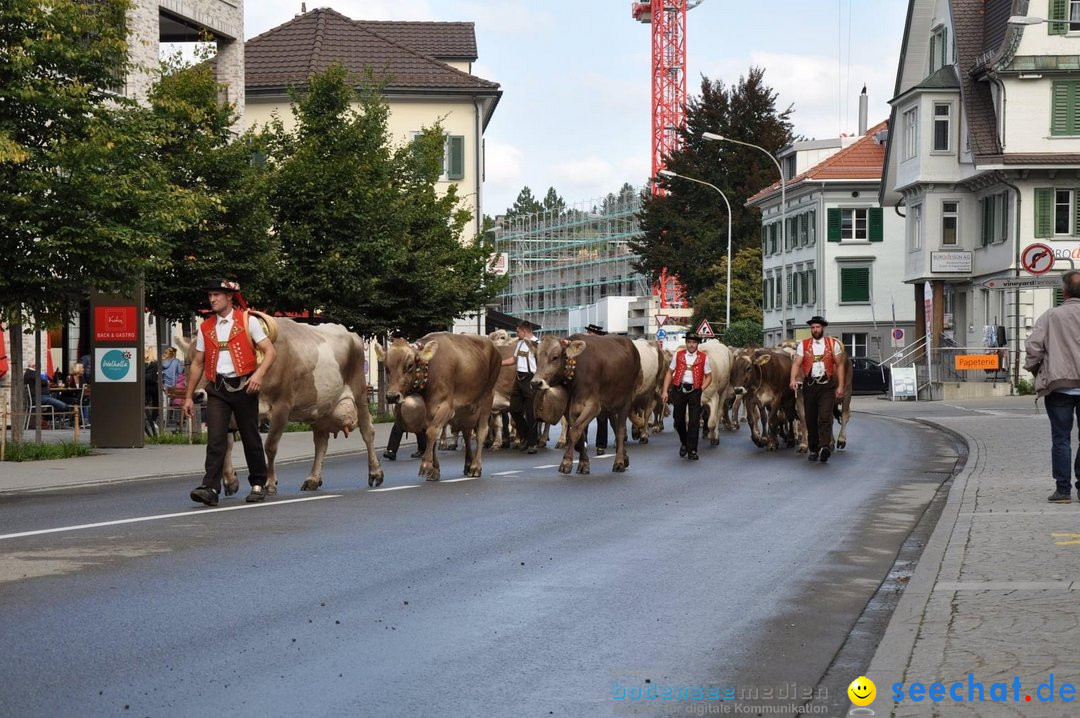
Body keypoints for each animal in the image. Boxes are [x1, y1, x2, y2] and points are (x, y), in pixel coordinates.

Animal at [181, 317, 388, 496]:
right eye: (190, 362)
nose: (198, 395)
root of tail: (351, 333)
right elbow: (227, 444)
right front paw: (230, 481)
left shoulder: (282, 406)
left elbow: (270, 446)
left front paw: (270, 483)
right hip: (321, 407)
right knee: (321, 442)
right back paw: (313, 479)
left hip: (359, 394)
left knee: (367, 432)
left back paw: (375, 473)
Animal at [375, 332, 501, 481]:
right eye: (387, 367)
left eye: (410, 365)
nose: (392, 396)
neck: (429, 370)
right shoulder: (429, 409)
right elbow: (431, 433)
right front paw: (434, 470)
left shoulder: (446, 406)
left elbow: (432, 431)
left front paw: (425, 466)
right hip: (466, 408)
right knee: (466, 431)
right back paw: (468, 464)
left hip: (487, 395)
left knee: (481, 431)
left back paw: (475, 467)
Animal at [531, 332, 639, 472]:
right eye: (535, 357)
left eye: (555, 357)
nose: (535, 383)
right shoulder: (571, 409)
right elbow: (580, 433)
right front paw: (583, 463)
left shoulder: (593, 406)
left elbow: (574, 432)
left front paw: (566, 462)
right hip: (609, 405)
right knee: (615, 427)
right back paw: (625, 458)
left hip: (625, 402)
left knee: (621, 430)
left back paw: (619, 462)